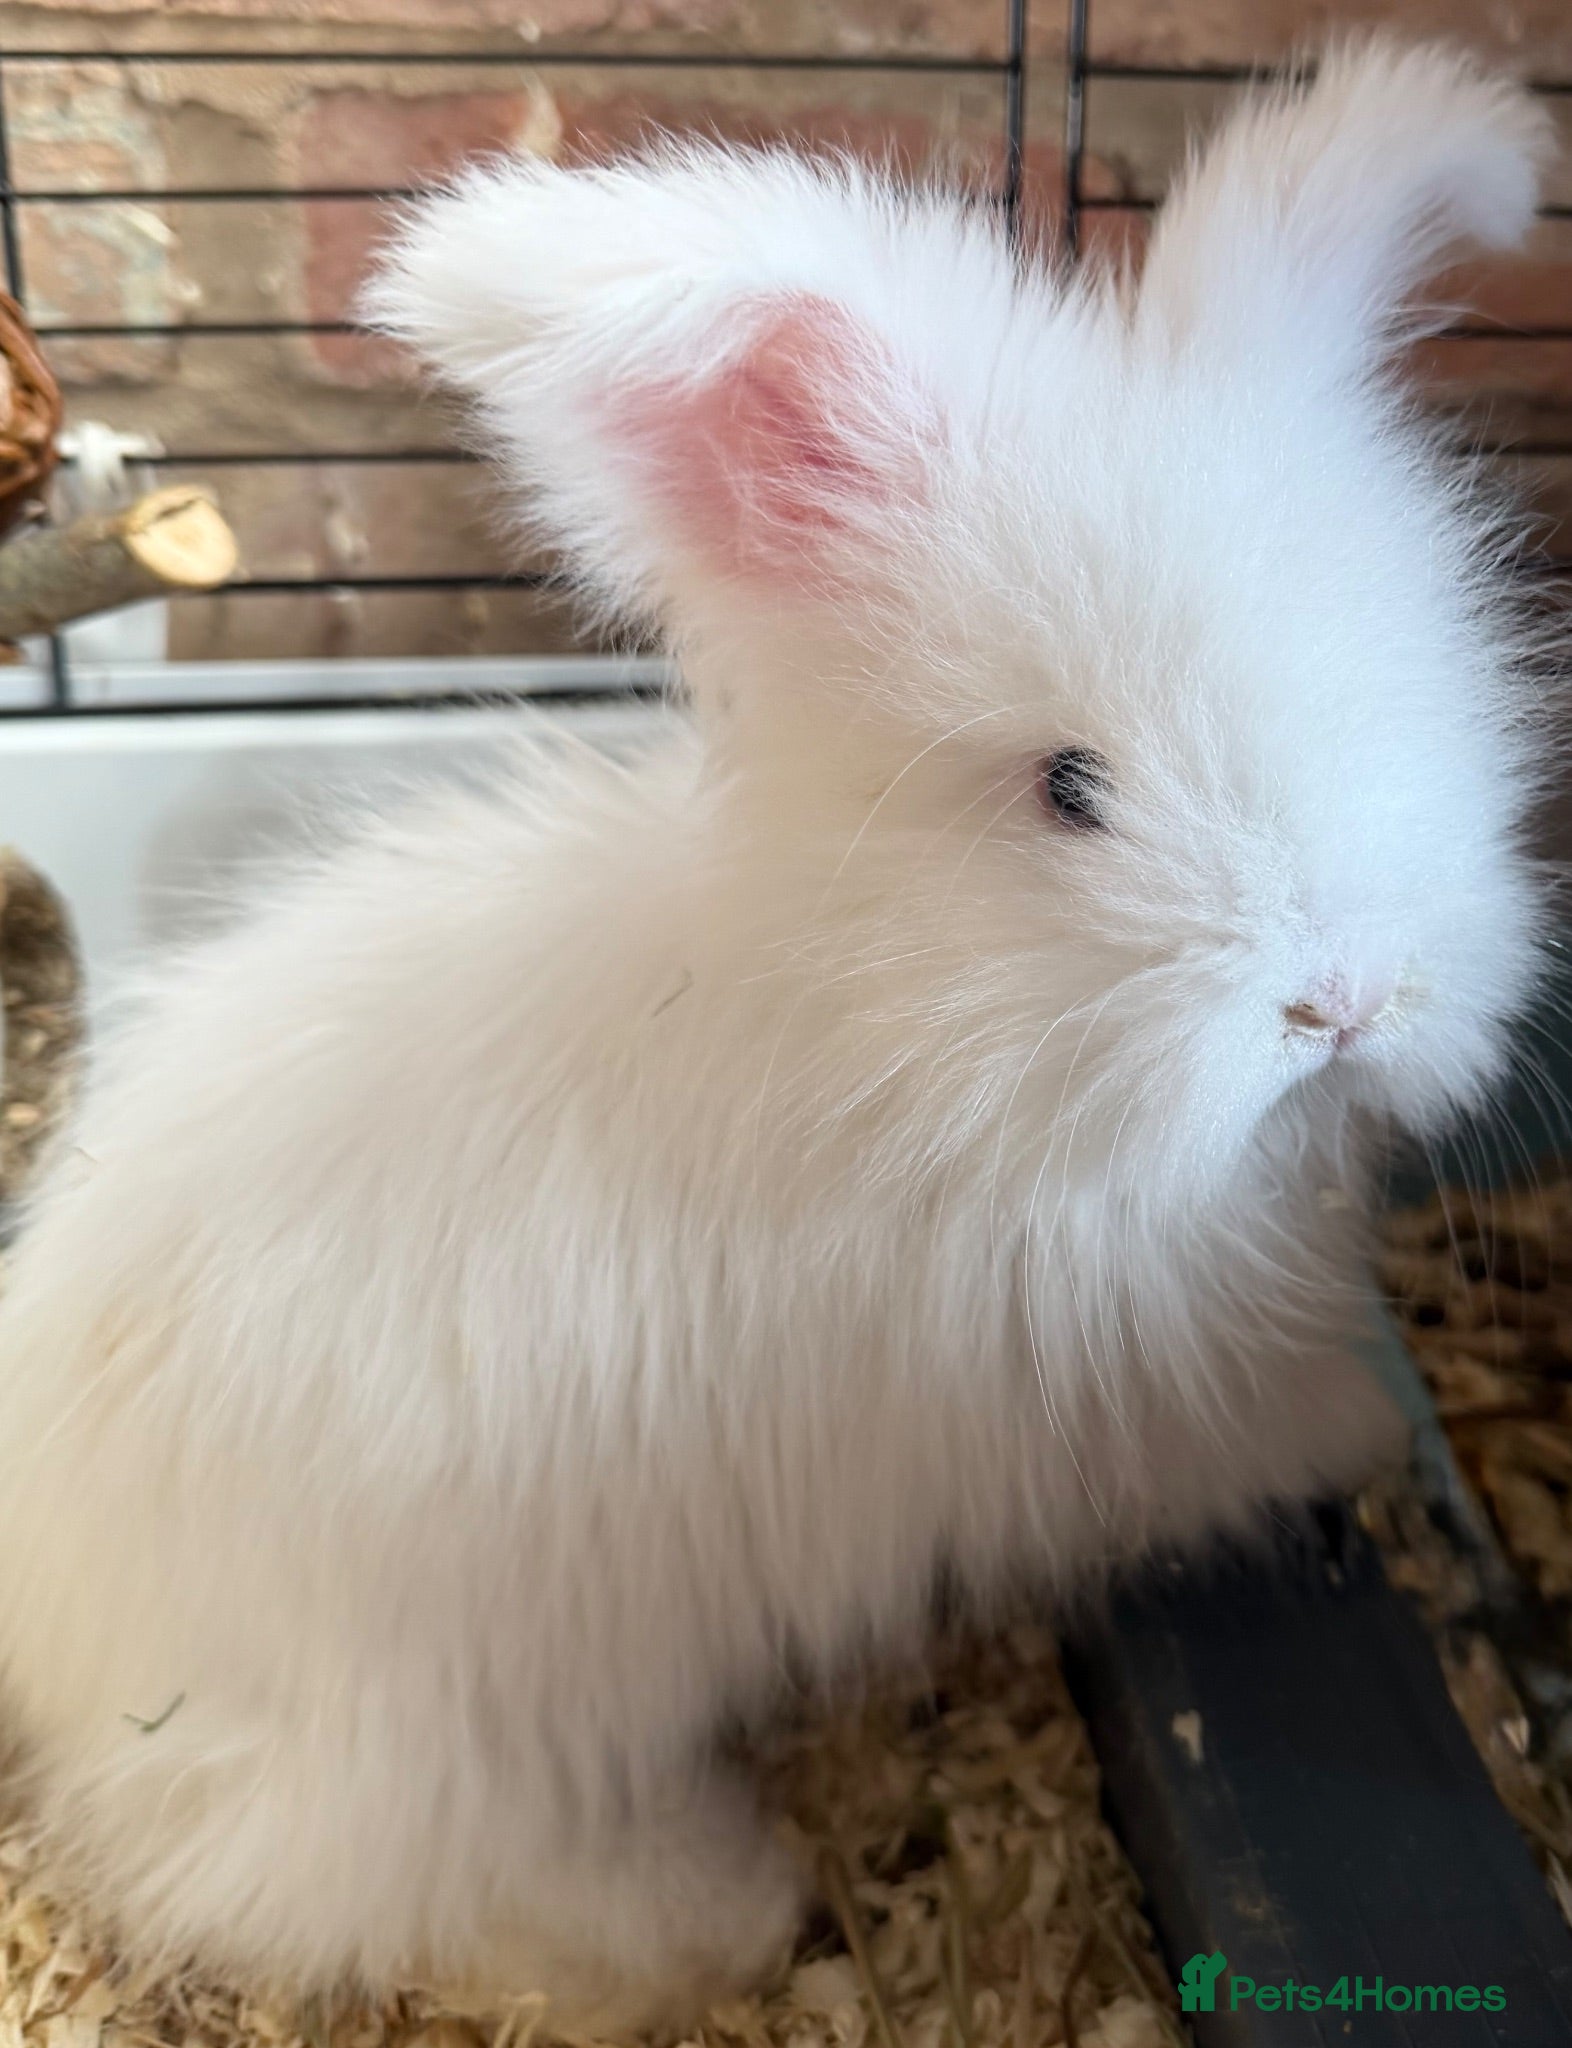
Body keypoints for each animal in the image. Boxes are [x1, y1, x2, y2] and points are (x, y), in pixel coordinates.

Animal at [0, 33, 1556, 2033]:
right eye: (1070, 786)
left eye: (1433, 691)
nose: (1343, 999)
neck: (902, 1043)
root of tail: (57, 1628)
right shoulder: (1099, 1413)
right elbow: (1238, 1445)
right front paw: (1357, 1424)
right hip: (424, 1728)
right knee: (358, 1885)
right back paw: (711, 1914)